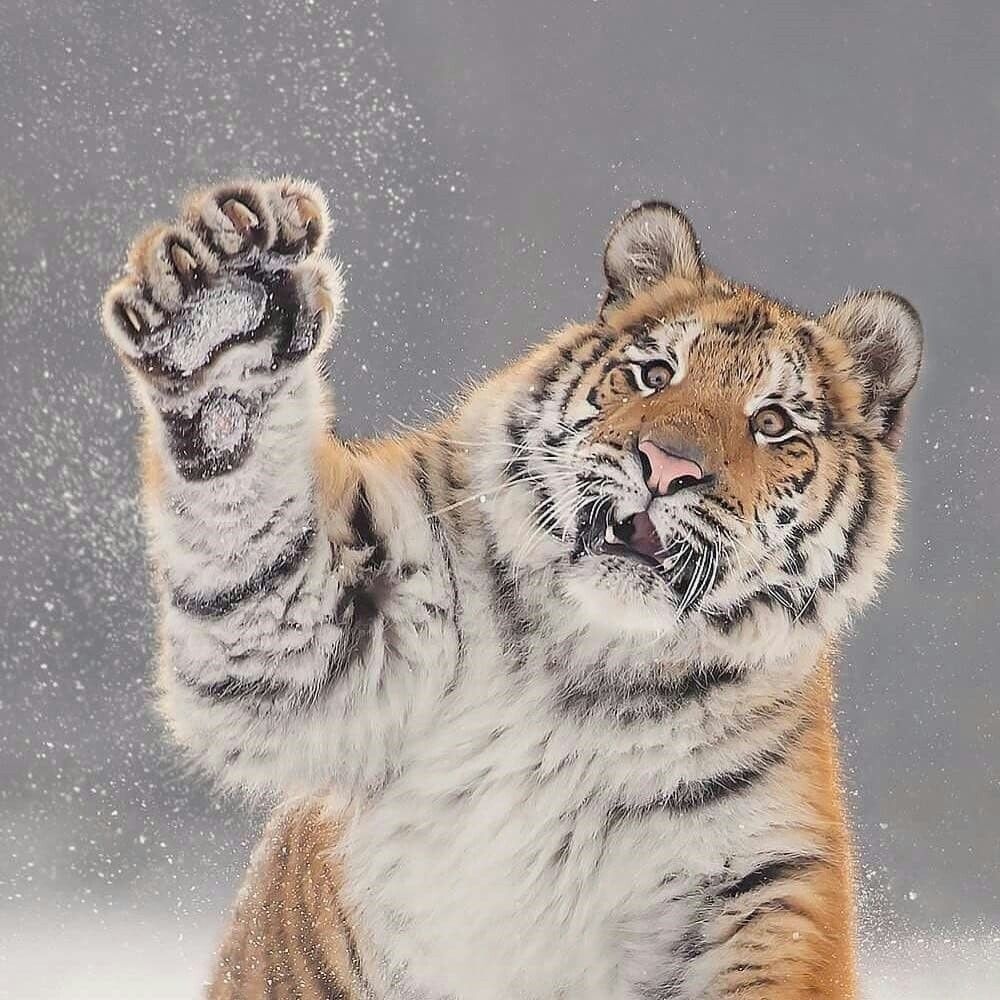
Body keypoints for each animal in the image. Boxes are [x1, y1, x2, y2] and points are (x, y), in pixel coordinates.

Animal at [101, 177, 922, 1000]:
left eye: (774, 423)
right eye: (655, 373)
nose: (667, 466)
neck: (593, 670)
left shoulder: (760, 881)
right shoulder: (327, 640)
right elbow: (252, 534)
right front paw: (219, 306)